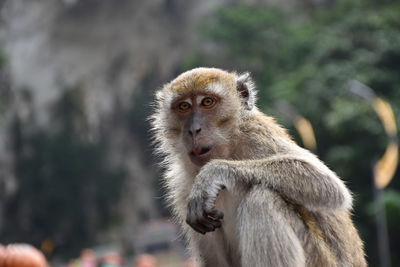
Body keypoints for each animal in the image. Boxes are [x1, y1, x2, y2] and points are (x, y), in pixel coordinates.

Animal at [150, 68, 366, 267]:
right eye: (183, 106)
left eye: (207, 102)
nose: (194, 130)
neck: (230, 148)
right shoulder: (181, 185)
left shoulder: (257, 135)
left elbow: (328, 186)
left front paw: (213, 173)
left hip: (319, 258)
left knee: (262, 198)